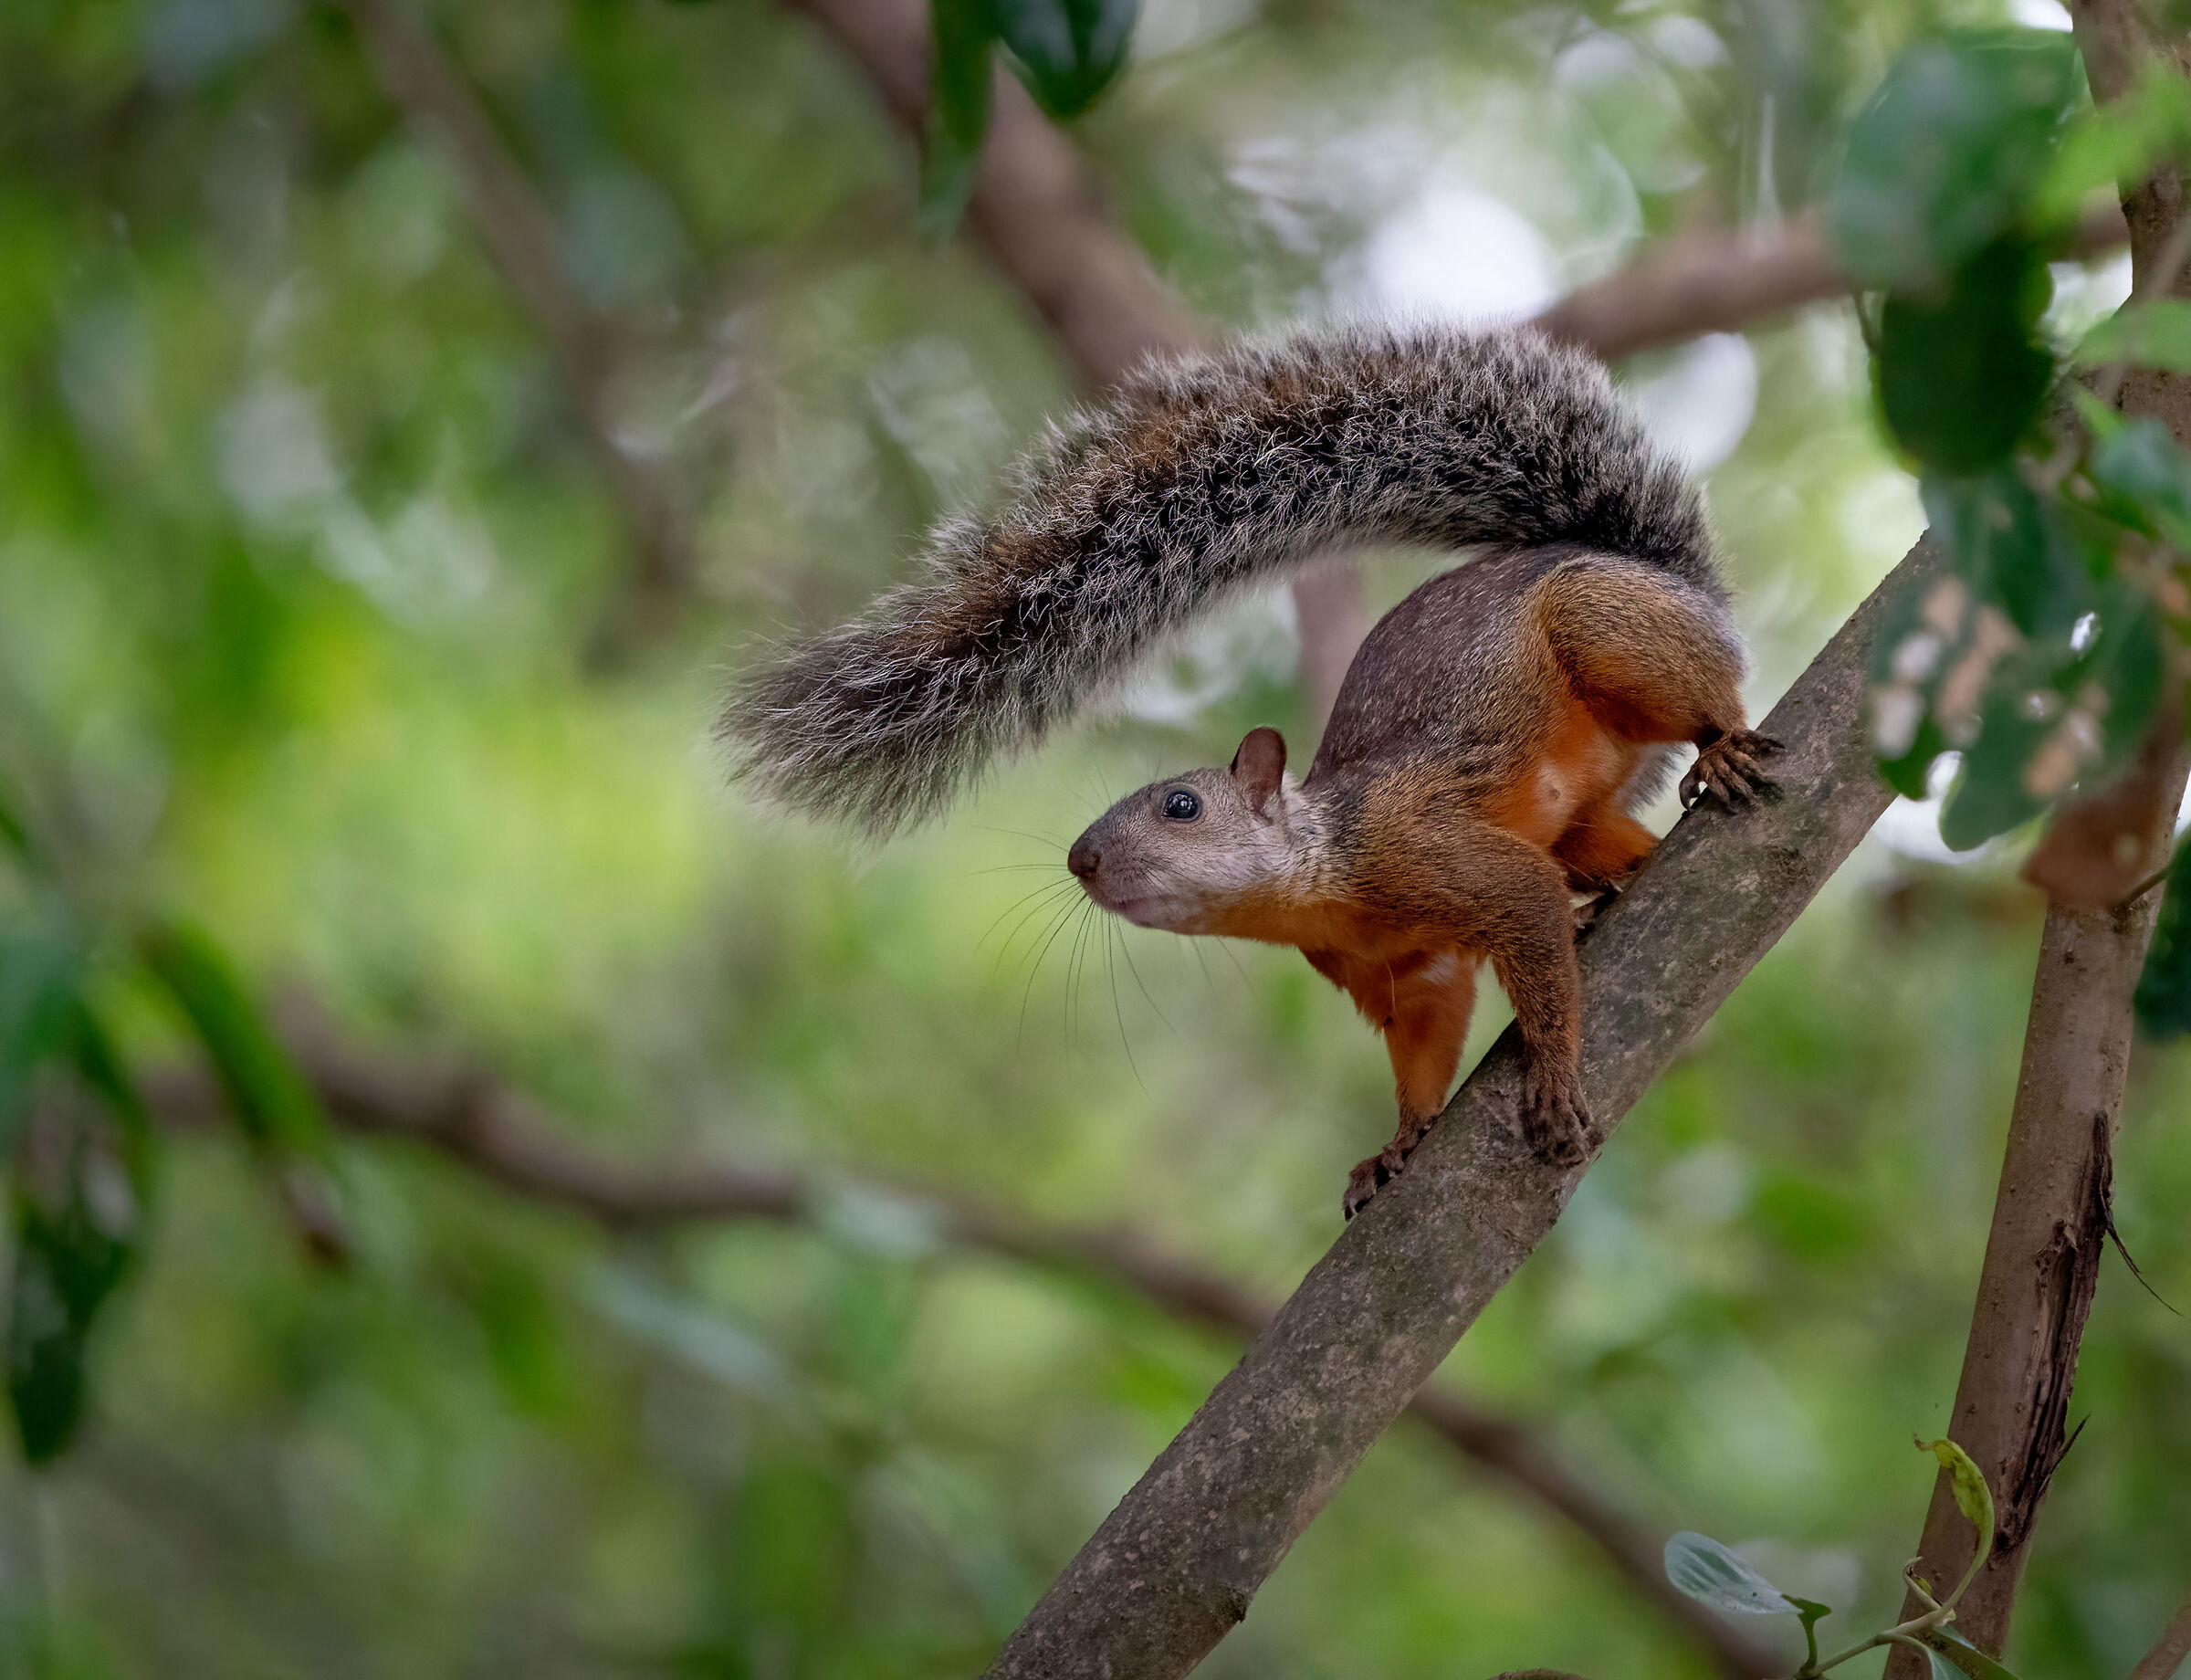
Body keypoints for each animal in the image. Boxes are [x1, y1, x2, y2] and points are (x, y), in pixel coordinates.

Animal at [724, 323, 1776, 1216]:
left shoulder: (1439, 852)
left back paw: (1721, 748)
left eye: (1182, 804)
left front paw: (1553, 1080)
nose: (1080, 861)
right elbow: (1424, 1051)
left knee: (1706, 696)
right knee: (1616, 844)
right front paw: (1396, 1143)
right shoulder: (1408, 976)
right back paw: (1620, 883)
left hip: (1608, 631)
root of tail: (1657, 575)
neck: (1325, 884)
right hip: (1587, 813)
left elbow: (1528, 931)